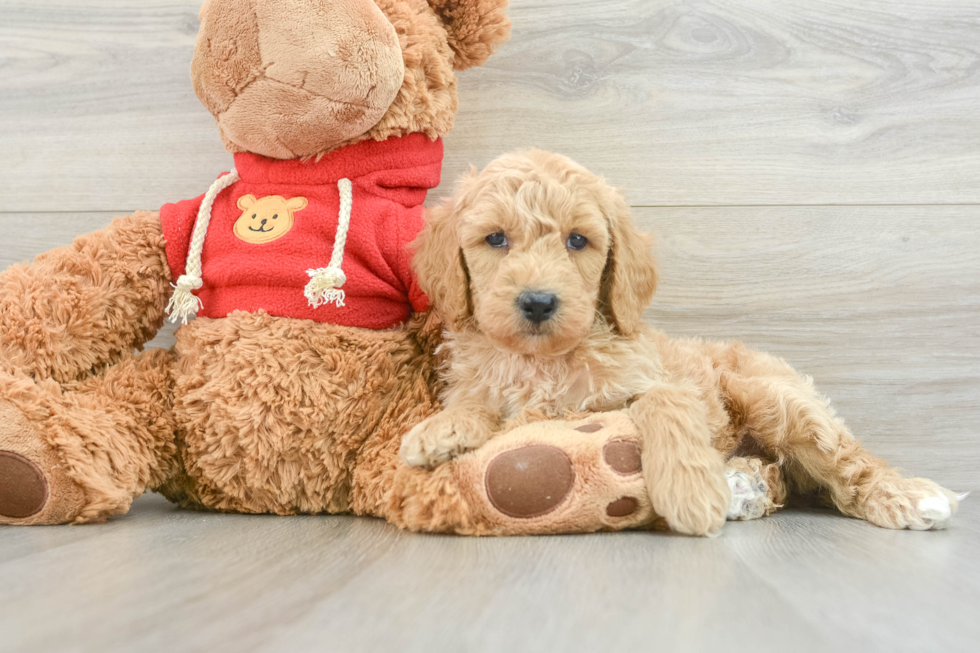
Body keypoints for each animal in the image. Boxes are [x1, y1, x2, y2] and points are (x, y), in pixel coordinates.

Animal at [400, 149, 964, 536]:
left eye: (577, 241)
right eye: (495, 239)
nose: (538, 303)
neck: (543, 361)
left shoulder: (662, 380)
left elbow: (663, 404)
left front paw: (690, 493)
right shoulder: (485, 385)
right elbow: (477, 404)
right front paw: (438, 431)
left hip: (777, 401)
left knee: (848, 461)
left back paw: (907, 497)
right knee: (783, 476)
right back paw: (746, 487)